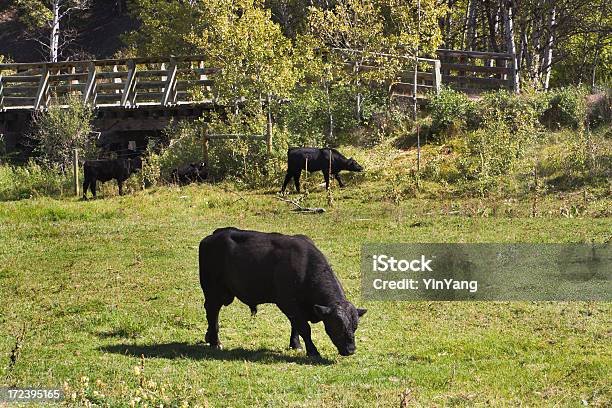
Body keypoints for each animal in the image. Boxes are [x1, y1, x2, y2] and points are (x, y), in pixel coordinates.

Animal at [198, 228, 366, 356]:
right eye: (337, 327)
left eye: (355, 327)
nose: (350, 350)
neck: (305, 268)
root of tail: (212, 236)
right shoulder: (288, 303)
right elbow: (304, 328)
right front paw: (313, 351)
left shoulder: (297, 307)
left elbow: (295, 326)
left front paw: (296, 345)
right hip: (213, 292)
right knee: (212, 312)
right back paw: (215, 342)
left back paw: (209, 337)